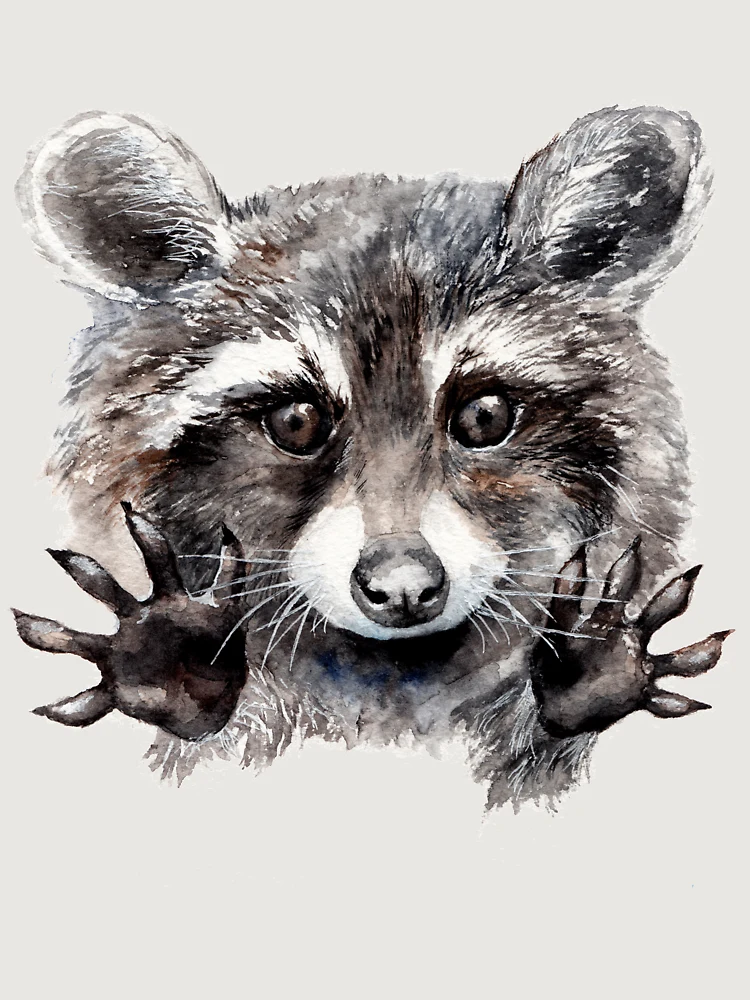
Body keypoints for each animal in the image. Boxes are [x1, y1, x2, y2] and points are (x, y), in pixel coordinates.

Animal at [13, 106, 731, 808]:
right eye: (296, 422)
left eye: (484, 417)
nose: (403, 585)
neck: (391, 668)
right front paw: (179, 661)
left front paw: (584, 668)